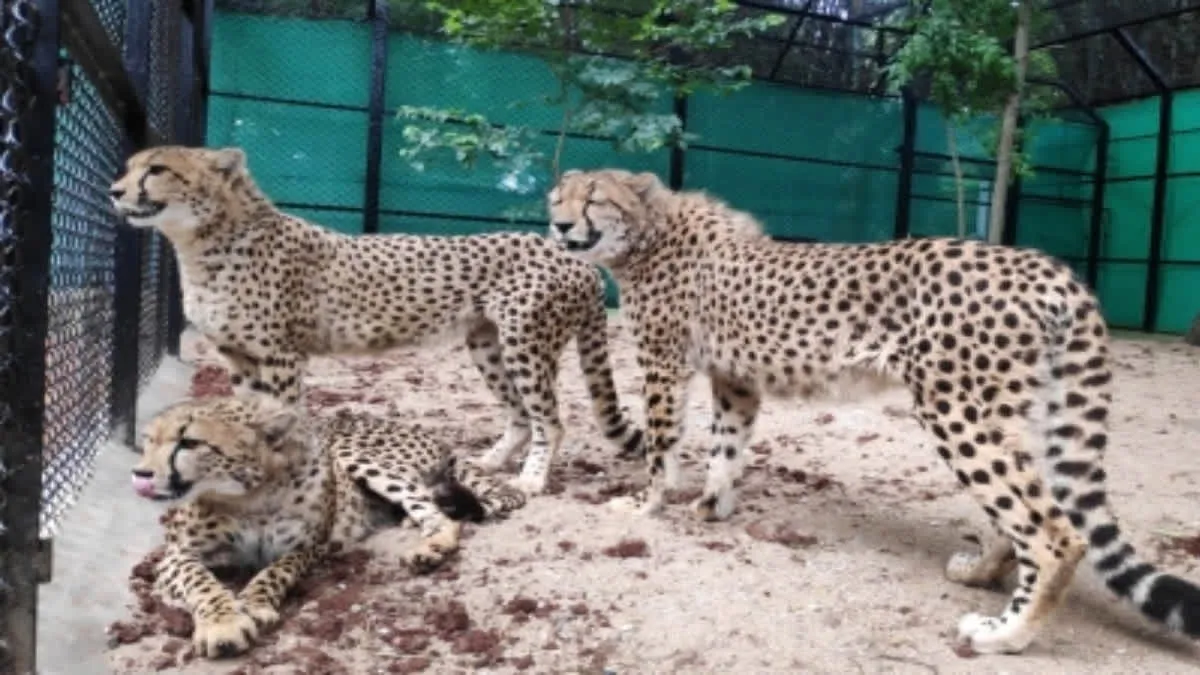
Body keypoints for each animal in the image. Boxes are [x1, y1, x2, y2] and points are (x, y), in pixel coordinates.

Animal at [108, 145, 643, 494]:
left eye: (156, 169)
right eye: (130, 166)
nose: (114, 191)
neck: (202, 243)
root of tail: (576, 258)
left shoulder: (279, 356)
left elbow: (284, 415)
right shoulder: (237, 355)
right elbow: (248, 417)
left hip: (525, 344)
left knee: (549, 419)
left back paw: (530, 479)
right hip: (487, 345)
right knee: (519, 413)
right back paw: (490, 460)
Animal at [132, 391, 525, 653]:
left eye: (189, 442)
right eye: (148, 441)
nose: (141, 473)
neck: (250, 497)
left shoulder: (309, 546)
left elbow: (274, 572)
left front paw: (255, 604)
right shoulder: (175, 556)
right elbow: (200, 581)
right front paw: (223, 623)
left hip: (354, 453)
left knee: (435, 510)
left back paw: (432, 546)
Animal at [547, 166, 1200, 653]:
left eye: (594, 197)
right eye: (559, 195)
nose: (556, 222)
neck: (648, 233)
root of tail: (1050, 268)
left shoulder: (663, 365)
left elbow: (661, 444)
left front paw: (644, 503)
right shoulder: (736, 378)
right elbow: (726, 446)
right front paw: (711, 506)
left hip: (954, 408)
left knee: (1056, 534)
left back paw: (1005, 634)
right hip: (1013, 412)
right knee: (1020, 510)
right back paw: (983, 573)